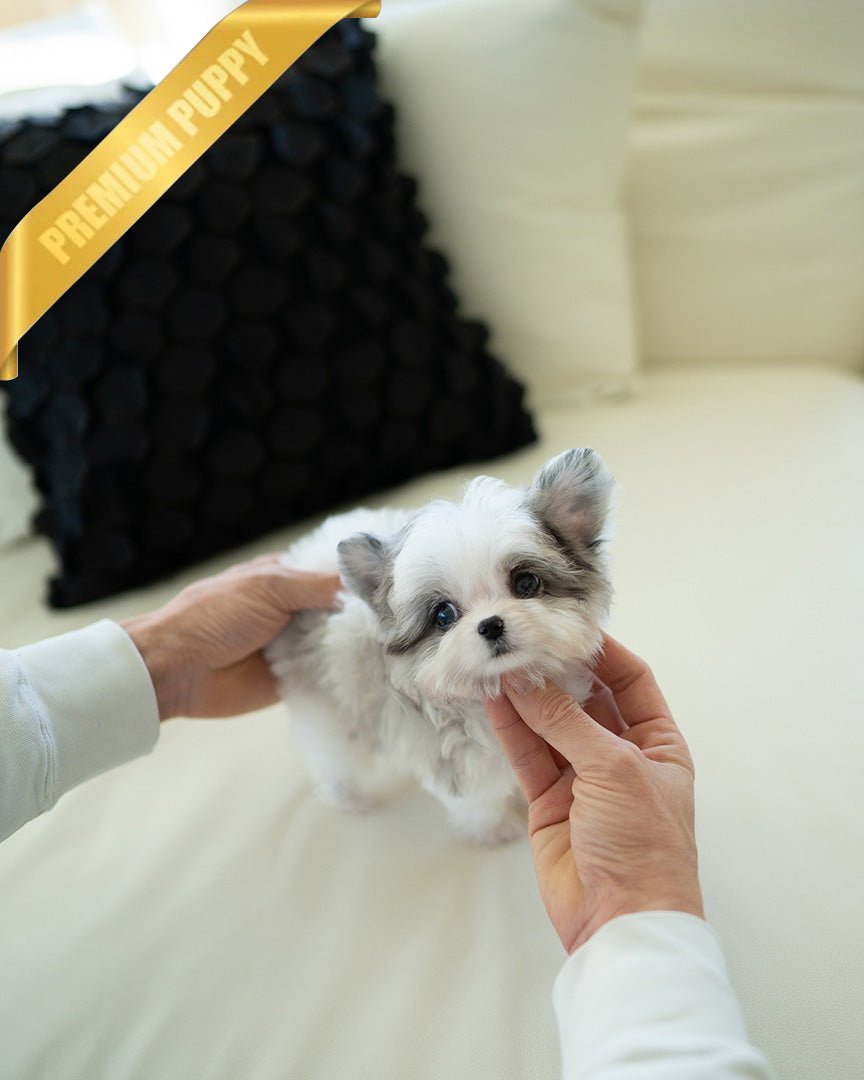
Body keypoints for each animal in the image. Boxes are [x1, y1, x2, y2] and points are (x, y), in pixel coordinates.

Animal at [265, 448, 615, 845]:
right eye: (443, 615)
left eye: (526, 583)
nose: (490, 624)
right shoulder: (454, 758)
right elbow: (476, 798)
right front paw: (495, 828)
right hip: (326, 706)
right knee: (332, 757)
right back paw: (349, 798)